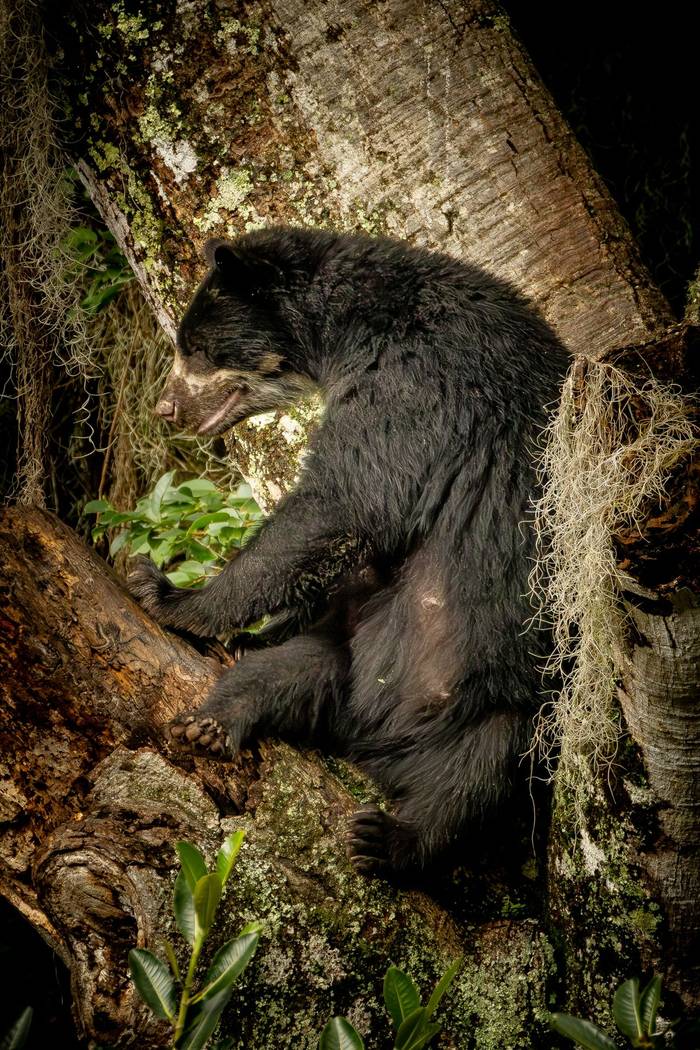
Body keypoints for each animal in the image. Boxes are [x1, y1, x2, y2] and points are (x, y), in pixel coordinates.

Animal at [128, 226, 570, 879]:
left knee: (473, 778)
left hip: (501, 698)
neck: (350, 332)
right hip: (347, 666)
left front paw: (171, 595)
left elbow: (344, 500)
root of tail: (376, 743)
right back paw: (221, 713)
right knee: (294, 669)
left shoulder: (415, 381)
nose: (166, 407)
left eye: (198, 348)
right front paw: (245, 630)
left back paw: (389, 838)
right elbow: (359, 555)